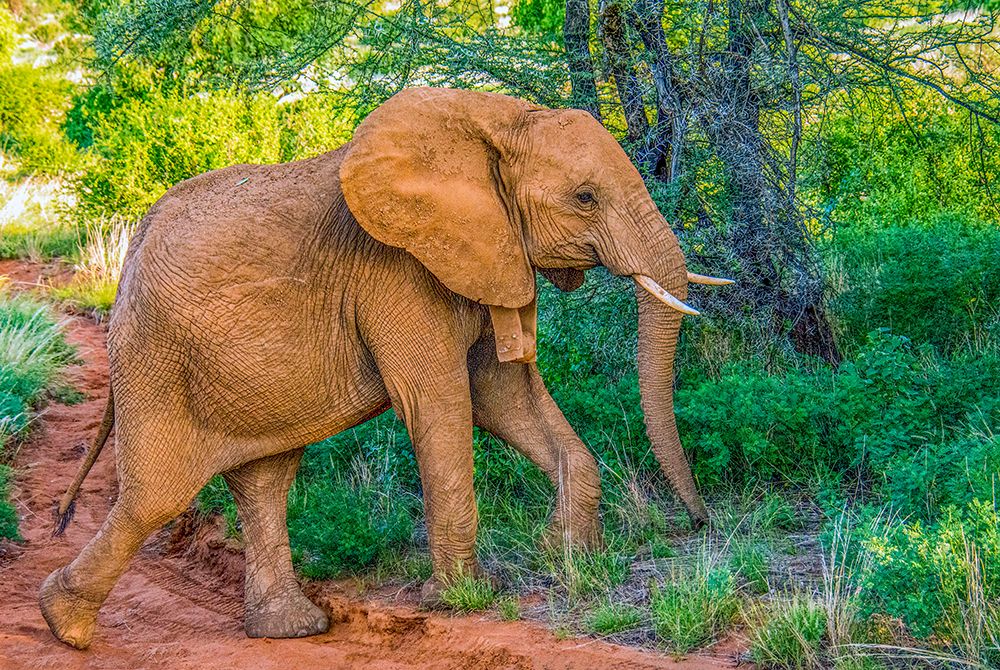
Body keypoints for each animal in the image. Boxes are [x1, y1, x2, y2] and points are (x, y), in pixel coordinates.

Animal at [40, 87, 730, 649]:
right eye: (585, 198)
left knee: (262, 479)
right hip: (155, 357)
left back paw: (290, 628)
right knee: (155, 496)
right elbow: (441, 401)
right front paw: (460, 599)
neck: (494, 121)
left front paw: (570, 559)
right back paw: (64, 626)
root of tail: (128, 259)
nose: (701, 523)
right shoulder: (397, 272)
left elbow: (505, 393)